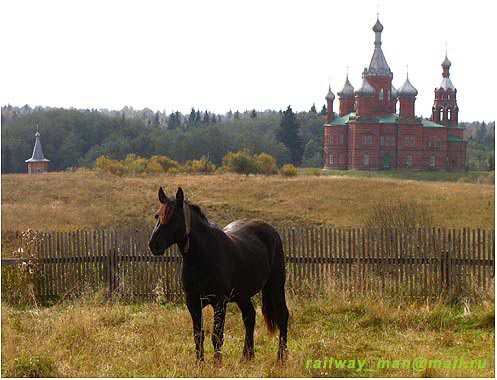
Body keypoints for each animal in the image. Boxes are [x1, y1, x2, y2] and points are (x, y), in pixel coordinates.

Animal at [147, 187, 288, 366]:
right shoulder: (192, 302)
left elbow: (217, 335)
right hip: (242, 295)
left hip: (276, 285)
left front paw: (217, 364)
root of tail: (272, 231)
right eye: (157, 216)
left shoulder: (220, 302)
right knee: (249, 317)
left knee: (283, 316)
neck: (202, 256)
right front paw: (199, 364)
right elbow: (198, 335)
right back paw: (246, 357)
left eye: (173, 217)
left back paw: (281, 357)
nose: (154, 245)